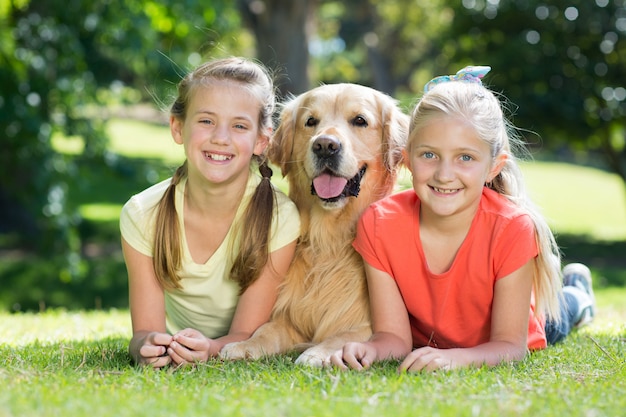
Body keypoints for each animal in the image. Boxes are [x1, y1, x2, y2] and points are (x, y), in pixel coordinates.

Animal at [221, 83, 410, 366]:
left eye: (360, 120)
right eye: (311, 121)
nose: (325, 146)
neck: (329, 242)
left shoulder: (371, 325)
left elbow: (343, 335)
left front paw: (317, 353)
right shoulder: (288, 317)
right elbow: (267, 330)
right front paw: (244, 344)